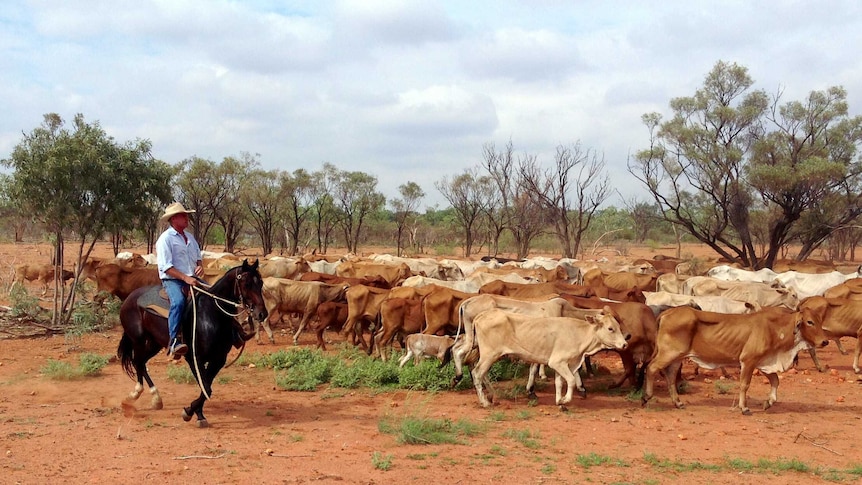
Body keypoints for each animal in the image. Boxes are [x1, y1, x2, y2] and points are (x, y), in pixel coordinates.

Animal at [118, 260, 266, 426]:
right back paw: (136, 394)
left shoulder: (218, 359)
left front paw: (197, 413)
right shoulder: (194, 358)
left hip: (154, 343)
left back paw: (155, 398)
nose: (262, 313)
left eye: (260, 283)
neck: (210, 314)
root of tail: (130, 298)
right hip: (138, 339)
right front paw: (190, 412)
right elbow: (206, 387)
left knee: (141, 362)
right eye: (246, 284)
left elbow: (206, 388)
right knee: (137, 361)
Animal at [470, 308, 632, 406]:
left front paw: (559, 400)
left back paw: (491, 396)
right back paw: (484, 402)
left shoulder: (563, 365)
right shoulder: (558, 362)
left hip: (488, 356)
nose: (624, 344)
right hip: (489, 355)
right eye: (610, 328)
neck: (579, 334)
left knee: (482, 374)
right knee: (477, 373)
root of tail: (482, 315)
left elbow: (559, 383)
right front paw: (565, 400)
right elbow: (571, 380)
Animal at [640, 308, 832, 414]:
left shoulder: (763, 363)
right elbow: (745, 385)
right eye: (809, 322)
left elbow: (775, 381)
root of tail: (667, 312)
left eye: (820, 320)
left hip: (676, 357)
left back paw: (678, 402)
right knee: (651, 368)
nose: (825, 341)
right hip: (669, 353)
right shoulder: (748, 360)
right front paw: (744, 408)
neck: (776, 329)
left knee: (670, 376)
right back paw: (646, 397)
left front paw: (768, 402)